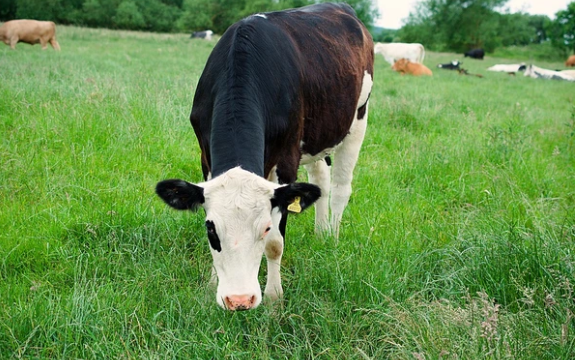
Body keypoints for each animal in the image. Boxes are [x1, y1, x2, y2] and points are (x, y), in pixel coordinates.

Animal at [155, 2, 376, 310]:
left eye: (265, 227)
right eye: (211, 230)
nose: (238, 300)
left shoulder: (287, 160)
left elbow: (276, 244)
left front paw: (274, 298)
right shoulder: (205, 156)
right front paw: (212, 285)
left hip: (357, 120)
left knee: (342, 188)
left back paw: (332, 238)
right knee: (320, 178)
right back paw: (320, 234)